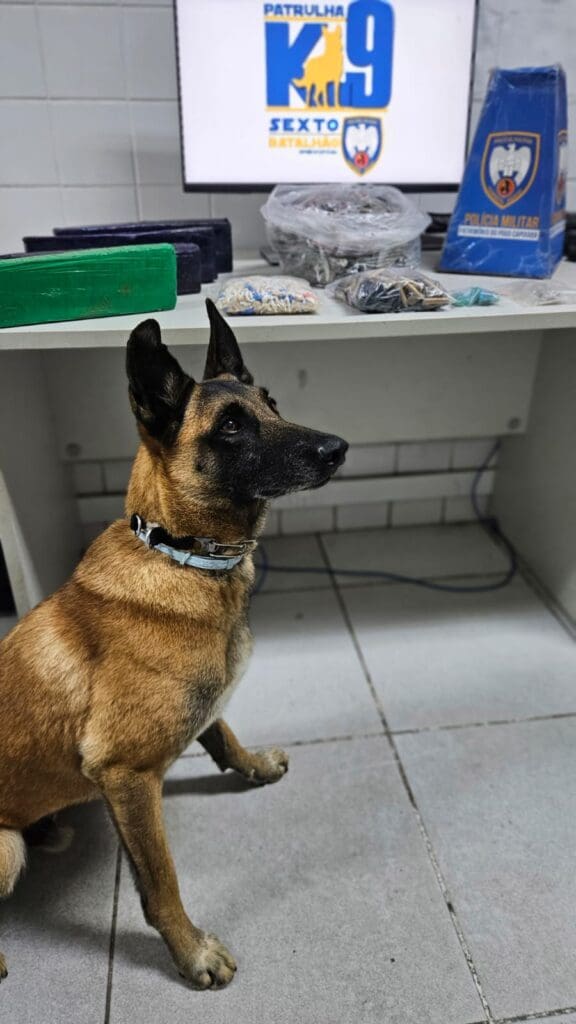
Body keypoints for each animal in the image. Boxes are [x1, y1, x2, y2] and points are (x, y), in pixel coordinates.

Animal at [0, 299, 344, 987]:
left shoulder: (200, 714)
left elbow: (223, 734)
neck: (182, 554)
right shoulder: (127, 776)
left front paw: (253, 766)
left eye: (272, 403)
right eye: (232, 427)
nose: (339, 448)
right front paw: (191, 953)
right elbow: (160, 885)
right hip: (1, 850)